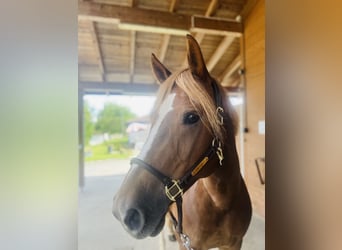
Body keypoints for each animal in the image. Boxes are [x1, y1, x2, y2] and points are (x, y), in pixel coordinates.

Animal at [112, 33, 251, 250]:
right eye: (152, 118)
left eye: (192, 117)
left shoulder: (234, 244)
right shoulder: (188, 244)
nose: (123, 210)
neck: (221, 203)